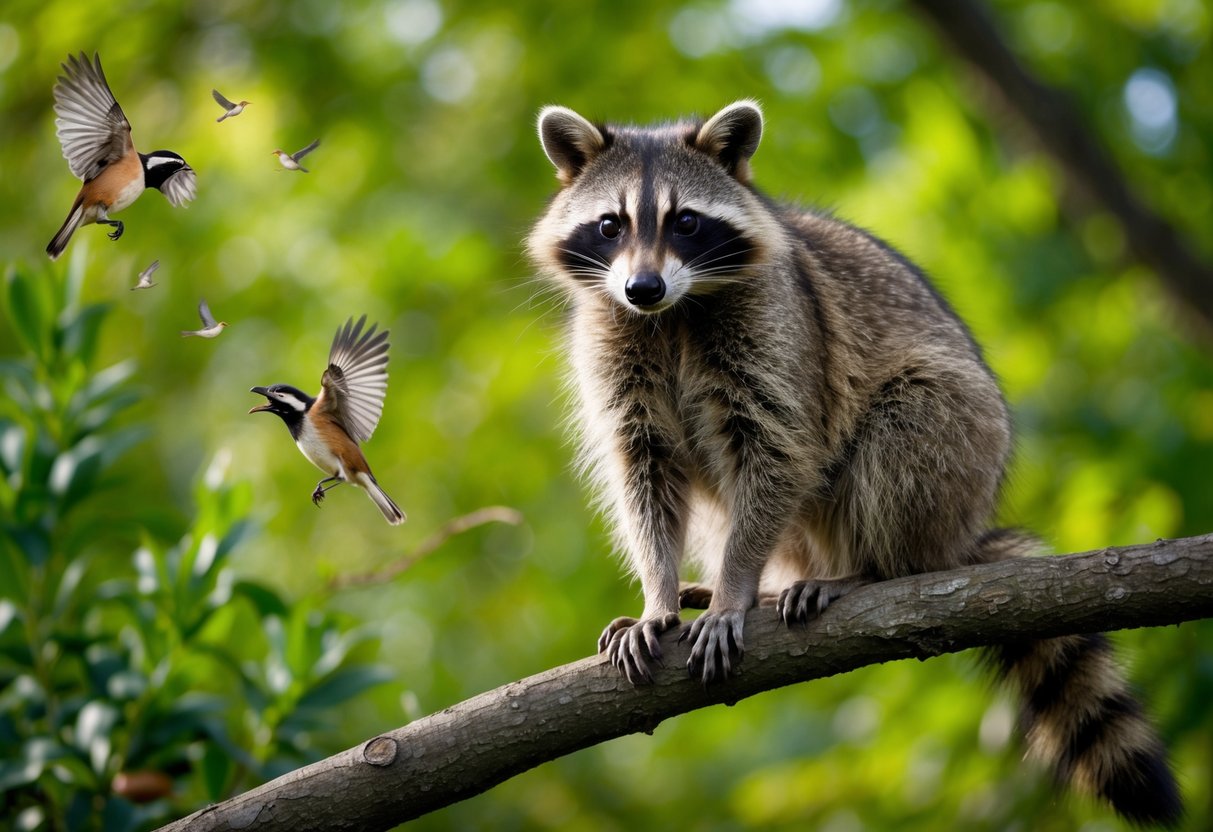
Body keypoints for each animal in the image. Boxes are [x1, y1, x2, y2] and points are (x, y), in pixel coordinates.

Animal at [527, 100, 1180, 826]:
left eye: (686, 222)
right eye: (610, 225)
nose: (642, 287)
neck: (672, 312)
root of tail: (961, 532)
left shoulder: (778, 333)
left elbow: (778, 452)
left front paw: (733, 588)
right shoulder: (614, 347)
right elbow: (643, 474)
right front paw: (658, 593)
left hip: (962, 441)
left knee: (908, 426)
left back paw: (869, 570)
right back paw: (771, 583)